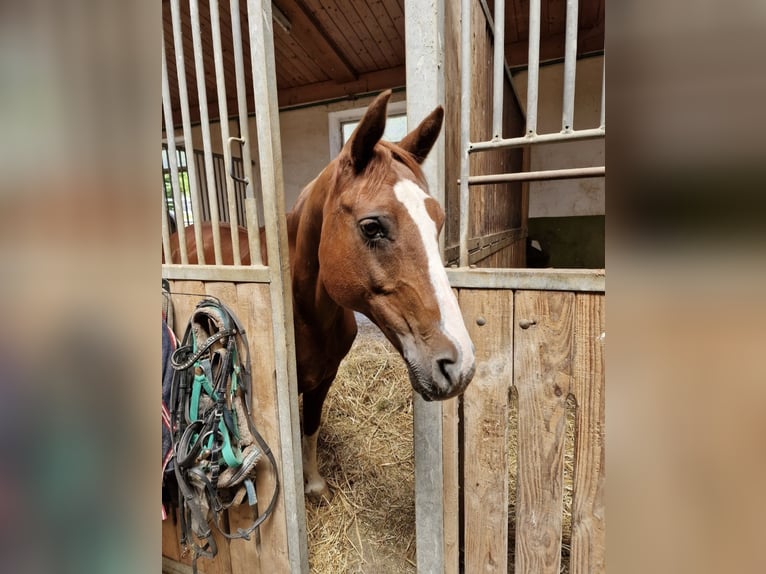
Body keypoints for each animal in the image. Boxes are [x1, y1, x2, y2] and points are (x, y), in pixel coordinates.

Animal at [169, 89, 476, 500]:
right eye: (372, 226)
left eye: (438, 222)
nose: (461, 365)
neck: (308, 314)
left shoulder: (324, 379)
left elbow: (310, 427)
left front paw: (314, 484)